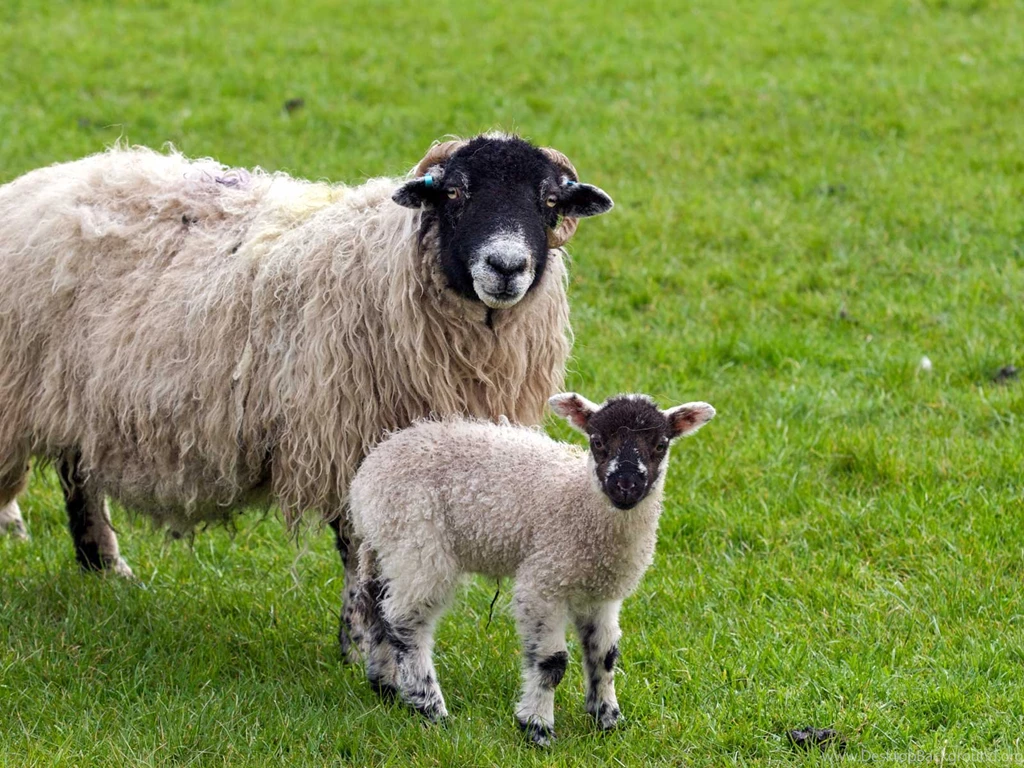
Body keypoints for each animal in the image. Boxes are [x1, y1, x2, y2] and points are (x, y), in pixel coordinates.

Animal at [0, 133, 614, 658]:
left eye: (549, 200)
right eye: (456, 192)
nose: (506, 266)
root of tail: (44, 180)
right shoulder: (351, 440)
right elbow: (358, 550)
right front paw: (362, 645)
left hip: (76, 395)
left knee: (77, 473)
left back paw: (103, 566)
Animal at [350, 392, 716, 745]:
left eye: (661, 444)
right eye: (597, 441)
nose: (625, 486)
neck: (580, 504)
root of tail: (369, 472)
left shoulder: (601, 593)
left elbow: (605, 655)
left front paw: (608, 720)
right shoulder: (544, 581)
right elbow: (551, 663)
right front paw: (536, 727)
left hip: (389, 548)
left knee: (377, 607)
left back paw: (386, 685)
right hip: (419, 544)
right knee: (406, 620)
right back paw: (430, 707)